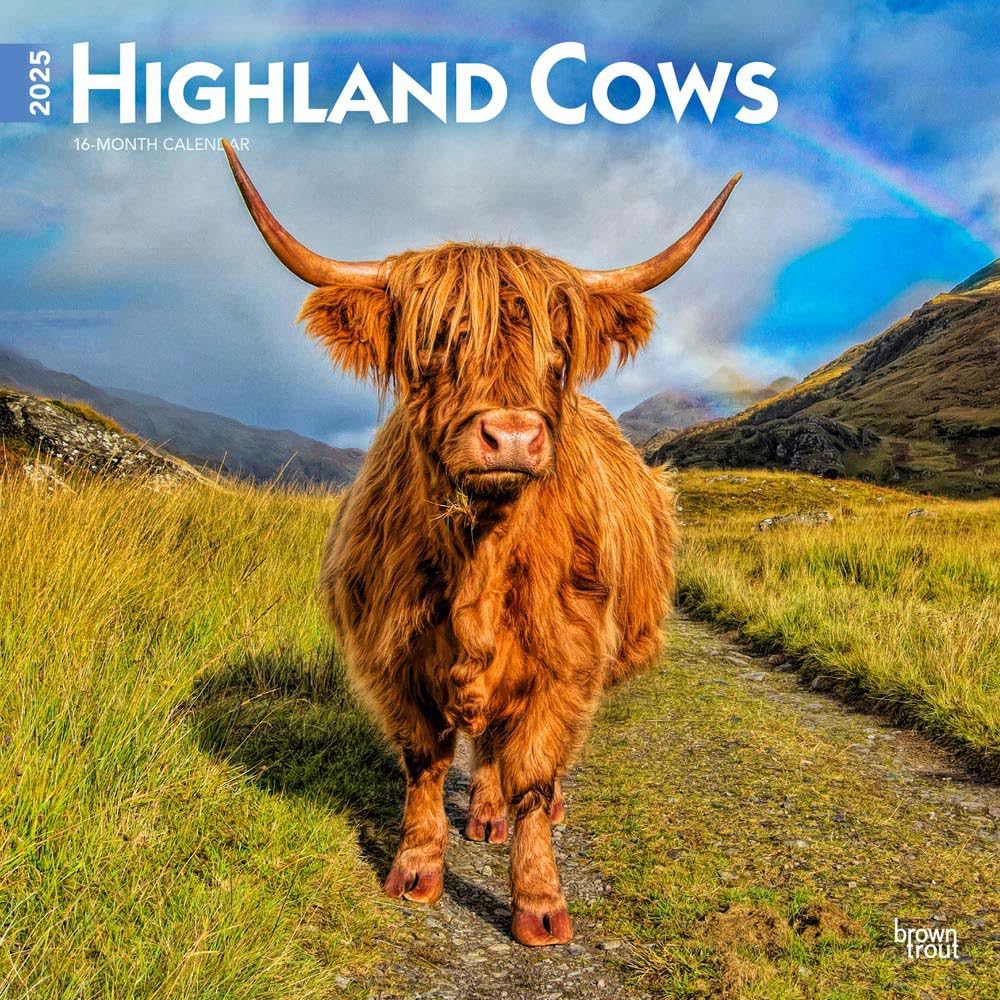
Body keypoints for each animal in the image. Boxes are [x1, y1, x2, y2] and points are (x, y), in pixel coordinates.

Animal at [222, 141, 739, 947]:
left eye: (558, 353)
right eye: (438, 343)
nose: (514, 435)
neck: (482, 561)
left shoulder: (564, 663)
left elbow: (532, 771)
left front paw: (539, 904)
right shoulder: (394, 658)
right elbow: (426, 762)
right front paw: (416, 869)